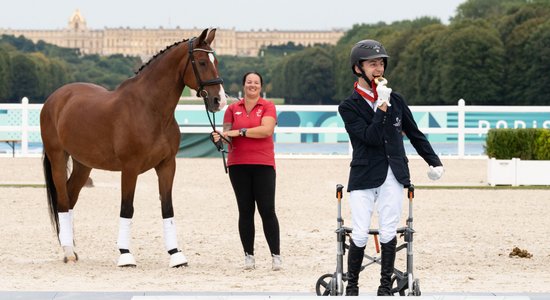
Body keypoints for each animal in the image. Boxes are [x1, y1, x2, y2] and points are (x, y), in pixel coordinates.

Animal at [40, 28, 226, 268]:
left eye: (216, 61)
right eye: (202, 62)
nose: (219, 100)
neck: (149, 109)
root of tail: (56, 97)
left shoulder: (167, 165)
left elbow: (167, 208)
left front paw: (176, 254)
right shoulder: (130, 168)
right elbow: (127, 208)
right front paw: (125, 254)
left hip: (83, 164)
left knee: (70, 198)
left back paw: (70, 248)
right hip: (58, 158)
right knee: (62, 201)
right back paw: (68, 253)